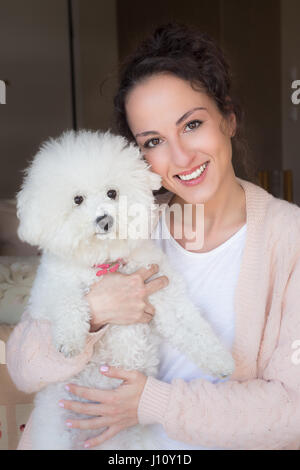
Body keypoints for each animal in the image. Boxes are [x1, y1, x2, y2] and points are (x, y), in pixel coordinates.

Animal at [16, 129, 234, 452]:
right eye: (78, 199)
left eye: (112, 193)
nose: (104, 219)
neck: (107, 262)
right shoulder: (50, 288)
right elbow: (69, 301)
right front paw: (71, 339)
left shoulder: (164, 292)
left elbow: (192, 328)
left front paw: (220, 360)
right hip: (56, 431)